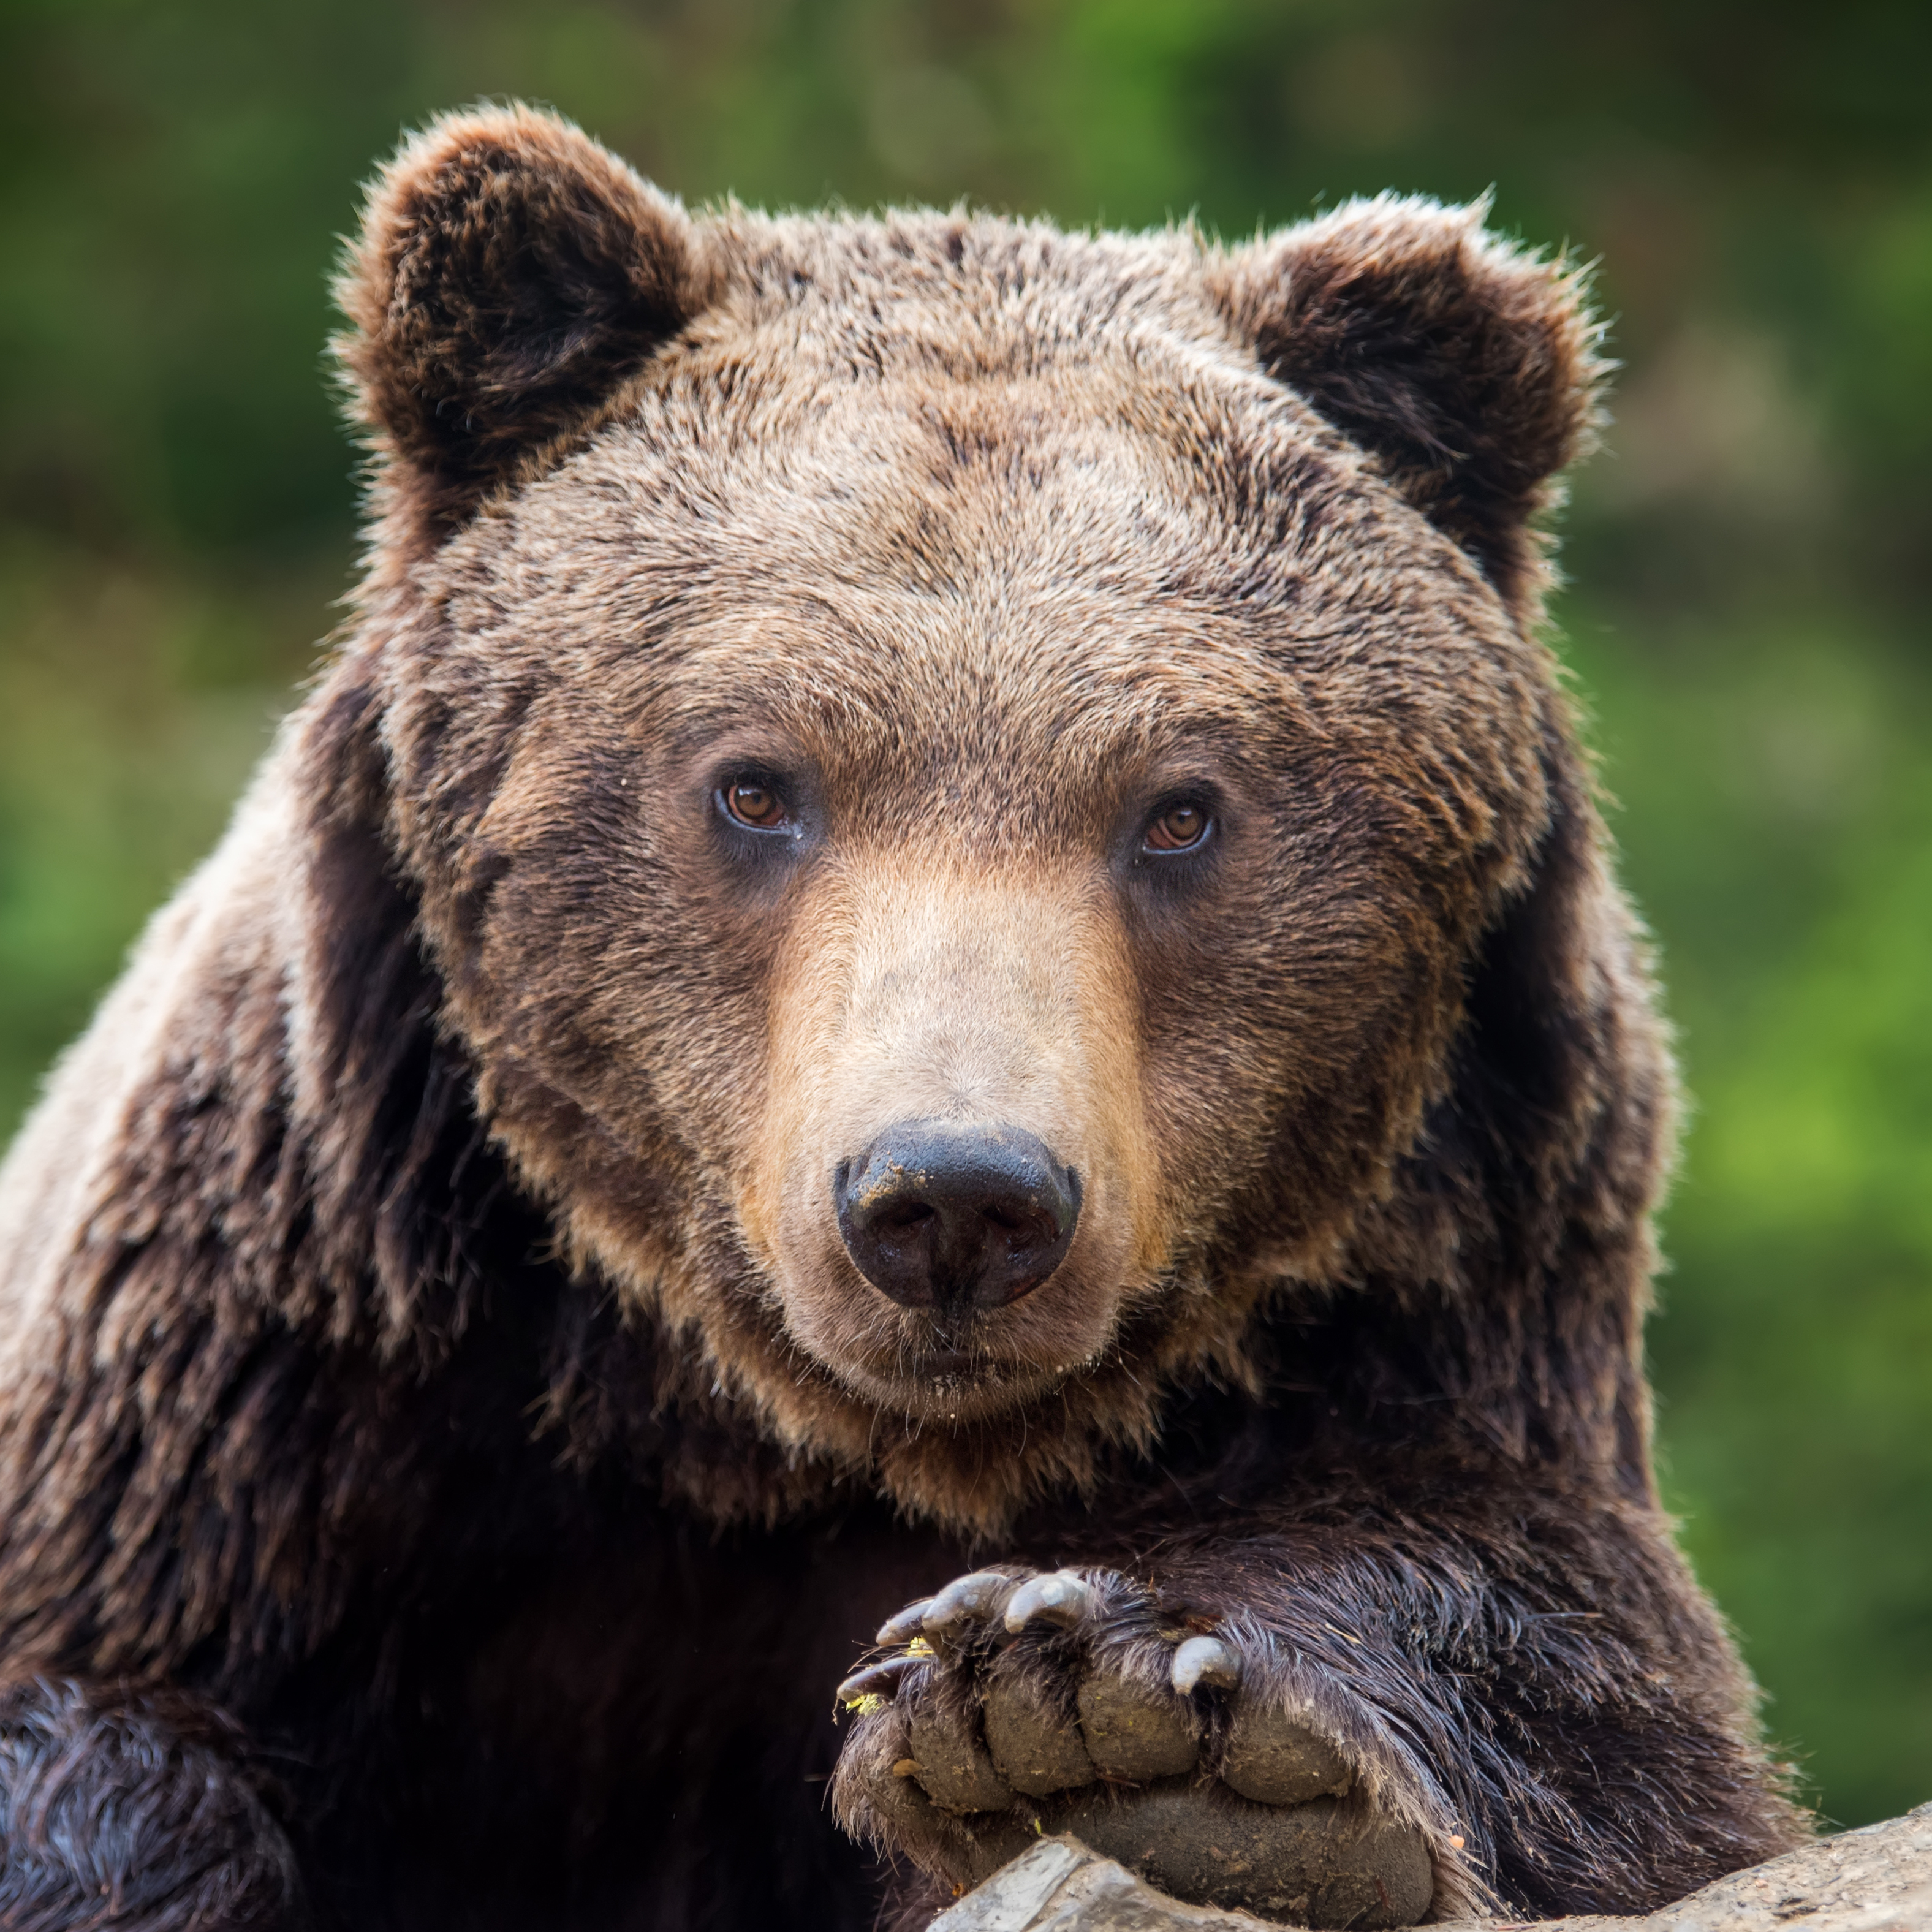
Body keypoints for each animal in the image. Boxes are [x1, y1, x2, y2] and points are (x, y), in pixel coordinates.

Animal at [0, 104, 1804, 1931]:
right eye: (753, 783)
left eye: (1178, 810)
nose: (953, 1199)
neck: (781, 1444)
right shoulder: (285, 1409)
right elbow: (104, 1732)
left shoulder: (1437, 1310)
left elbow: (1578, 1678)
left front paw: (1114, 1713)